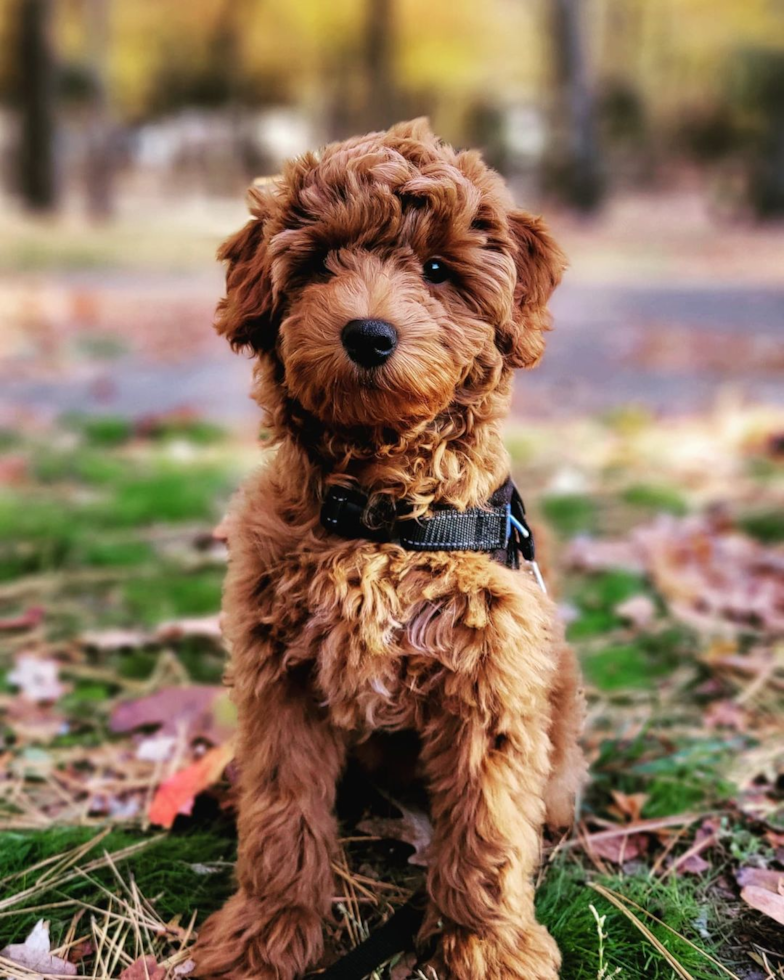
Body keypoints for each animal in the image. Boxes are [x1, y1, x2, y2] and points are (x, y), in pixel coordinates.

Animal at [193, 118, 584, 976]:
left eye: (437, 269)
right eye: (318, 264)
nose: (368, 334)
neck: (382, 520)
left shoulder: (491, 680)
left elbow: (488, 828)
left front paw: (487, 944)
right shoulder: (281, 676)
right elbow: (283, 813)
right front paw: (265, 934)